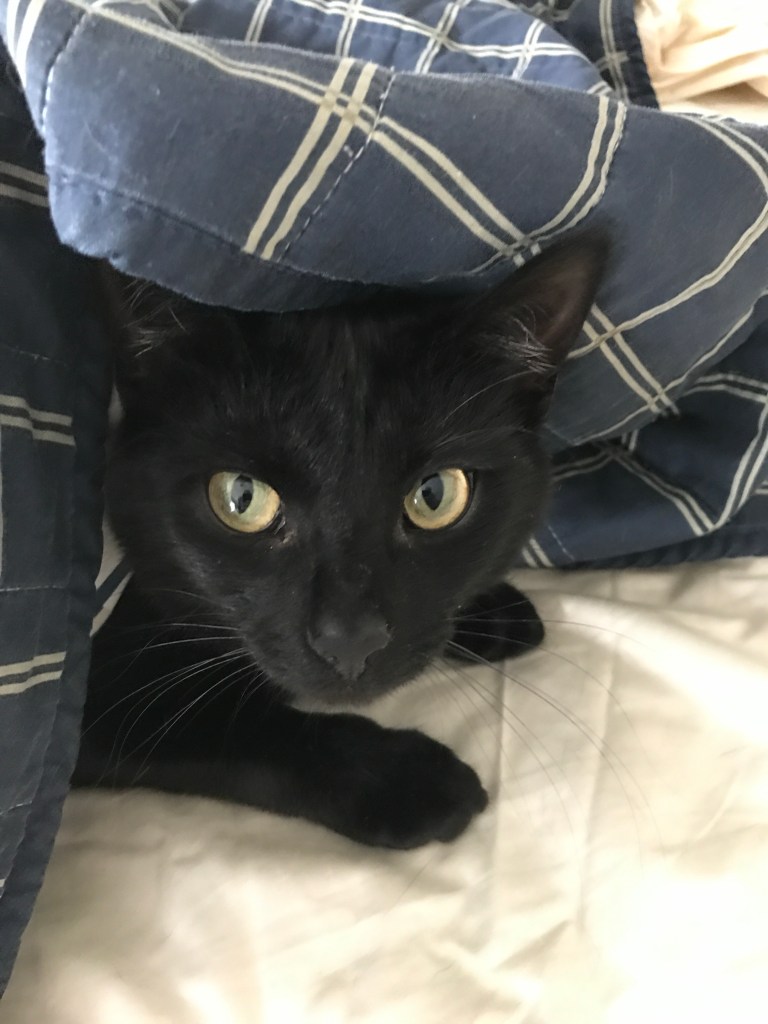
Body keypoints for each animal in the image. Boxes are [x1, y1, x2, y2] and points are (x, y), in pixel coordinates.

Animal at [73, 235, 607, 849]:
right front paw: (410, 782)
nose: (350, 639)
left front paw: (496, 615)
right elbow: (226, 725)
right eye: (240, 498)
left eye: (435, 495)